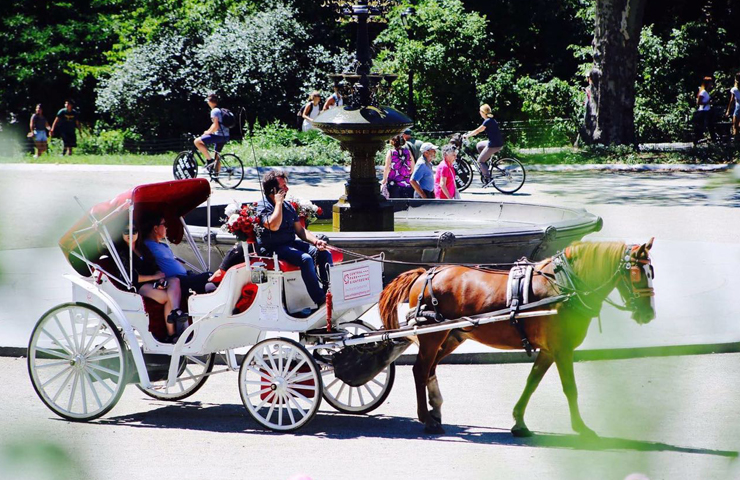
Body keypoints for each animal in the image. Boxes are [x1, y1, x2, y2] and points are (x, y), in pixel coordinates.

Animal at [378, 238, 656, 436]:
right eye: (637, 274)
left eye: (652, 272)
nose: (649, 314)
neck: (563, 284)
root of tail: (426, 273)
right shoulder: (562, 349)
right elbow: (570, 388)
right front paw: (581, 427)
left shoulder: (549, 350)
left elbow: (532, 382)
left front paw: (519, 421)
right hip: (434, 336)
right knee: (420, 370)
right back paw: (426, 418)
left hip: (452, 335)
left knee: (431, 369)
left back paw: (435, 411)